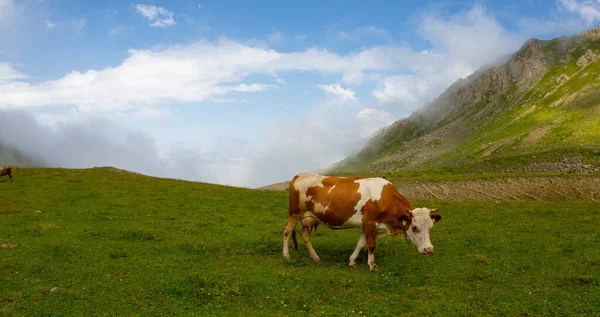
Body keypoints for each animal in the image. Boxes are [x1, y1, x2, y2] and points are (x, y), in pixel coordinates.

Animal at [282, 172, 440, 270]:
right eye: (414, 227)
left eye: (430, 227)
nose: (429, 249)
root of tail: (300, 175)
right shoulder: (369, 222)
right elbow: (371, 245)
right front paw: (372, 265)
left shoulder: (368, 225)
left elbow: (361, 244)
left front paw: (352, 261)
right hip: (295, 213)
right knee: (287, 231)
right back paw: (286, 255)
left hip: (310, 218)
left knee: (304, 234)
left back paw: (315, 257)